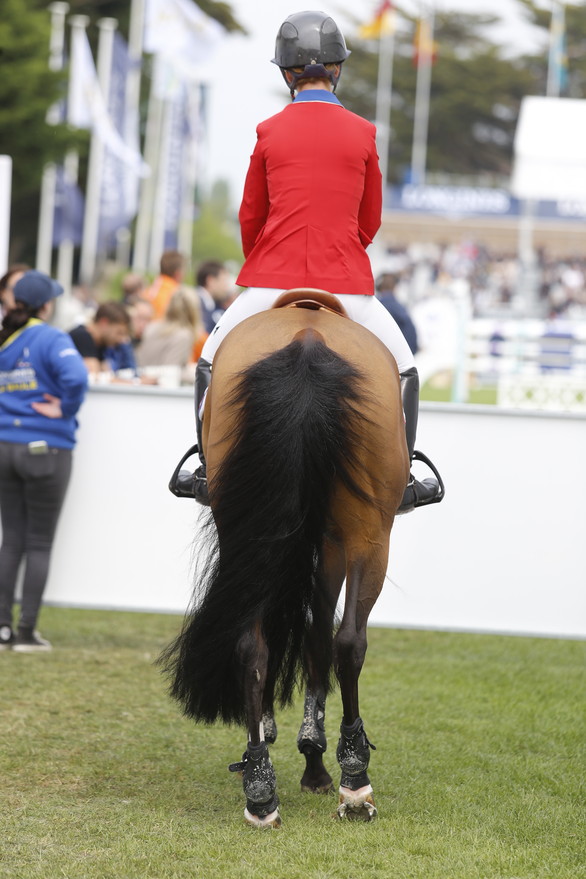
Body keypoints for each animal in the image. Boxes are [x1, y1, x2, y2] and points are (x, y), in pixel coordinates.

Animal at [157, 288, 408, 824]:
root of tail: (307, 338)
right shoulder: (331, 546)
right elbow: (316, 636)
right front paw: (315, 757)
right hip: (369, 536)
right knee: (348, 641)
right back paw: (354, 782)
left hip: (254, 529)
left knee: (252, 643)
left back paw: (260, 791)